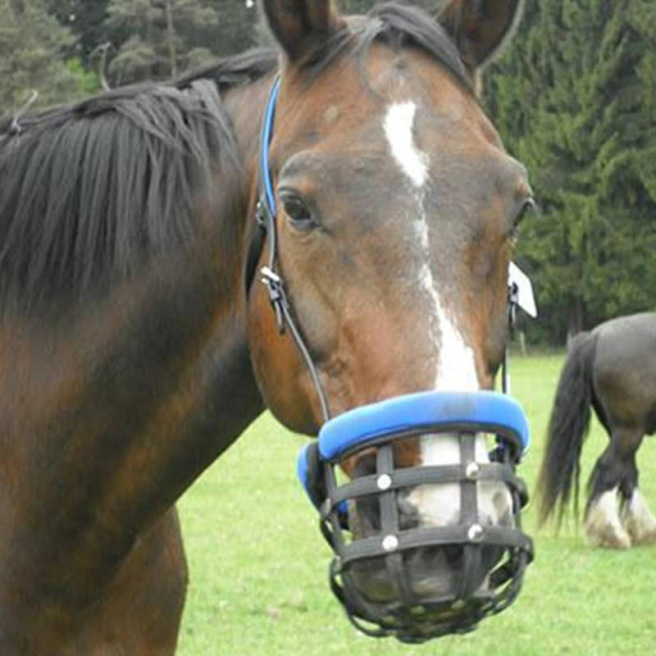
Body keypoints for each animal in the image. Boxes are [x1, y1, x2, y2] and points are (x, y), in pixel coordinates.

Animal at [537, 312, 656, 549]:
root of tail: (596, 336)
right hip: (629, 431)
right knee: (609, 468)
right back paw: (610, 534)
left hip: (620, 431)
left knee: (626, 473)